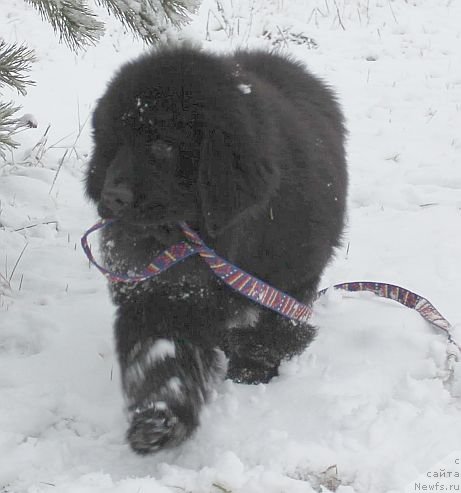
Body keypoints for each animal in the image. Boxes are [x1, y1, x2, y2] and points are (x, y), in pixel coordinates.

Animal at [84, 46, 346, 454]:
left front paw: (253, 367)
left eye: (163, 145)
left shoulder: (287, 278)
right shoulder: (164, 288)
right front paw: (158, 419)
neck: (209, 240)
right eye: (115, 142)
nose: (111, 197)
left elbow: (273, 329)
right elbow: (163, 352)